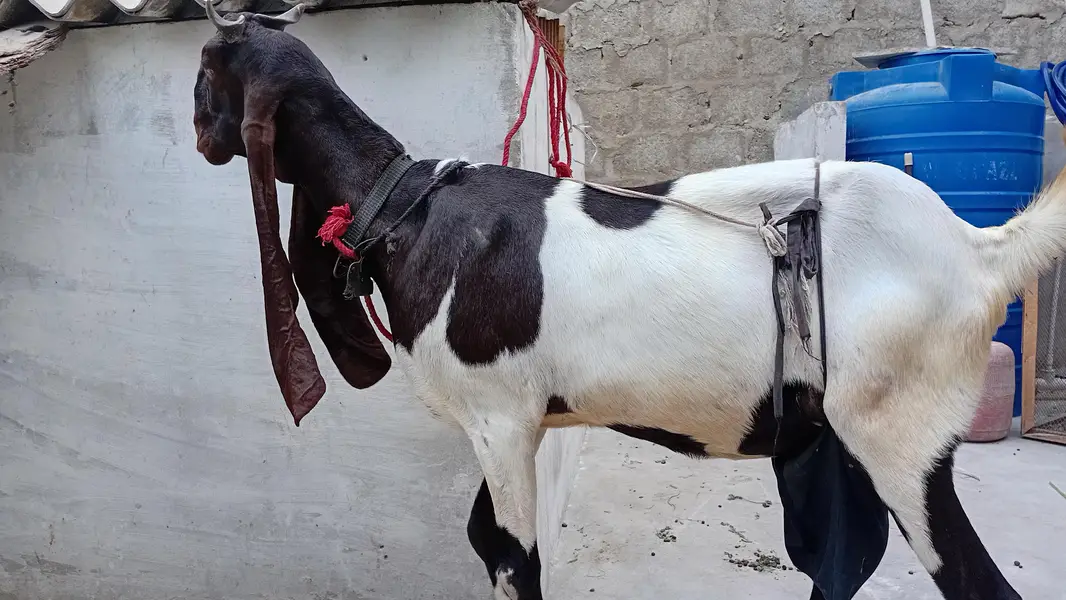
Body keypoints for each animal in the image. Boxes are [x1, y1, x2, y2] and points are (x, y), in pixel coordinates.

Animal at [193, 2, 1064, 599]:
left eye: (206, 69)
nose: (200, 135)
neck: (406, 210)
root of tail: (976, 249)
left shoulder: (501, 417)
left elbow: (515, 561)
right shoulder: (520, 420)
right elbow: (483, 541)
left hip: (901, 431)